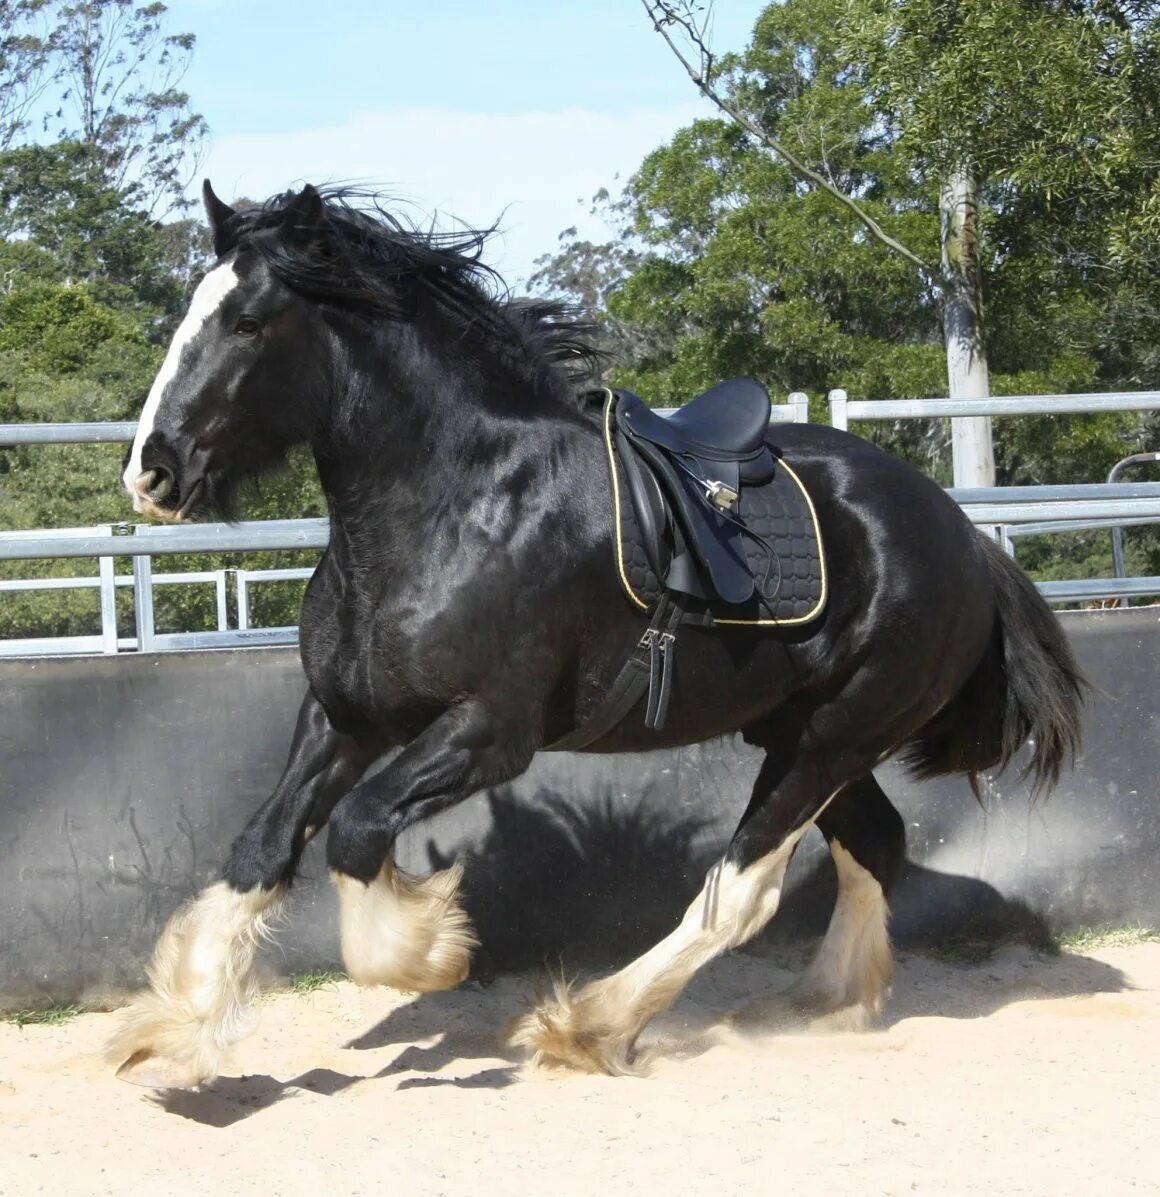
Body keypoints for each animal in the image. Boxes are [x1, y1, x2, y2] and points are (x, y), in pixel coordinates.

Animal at [104, 184, 1082, 1086]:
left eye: (248, 321)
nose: (152, 471)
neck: (459, 506)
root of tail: (960, 534)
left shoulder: (489, 732)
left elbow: (357, 833)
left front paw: (432, 947)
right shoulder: (345, 719)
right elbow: (261, 849)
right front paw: (173, 1032)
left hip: (833, 740)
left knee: (742, 890)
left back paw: (592, 1024)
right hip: (800, 734)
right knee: (872, 845)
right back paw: (822, 1003)